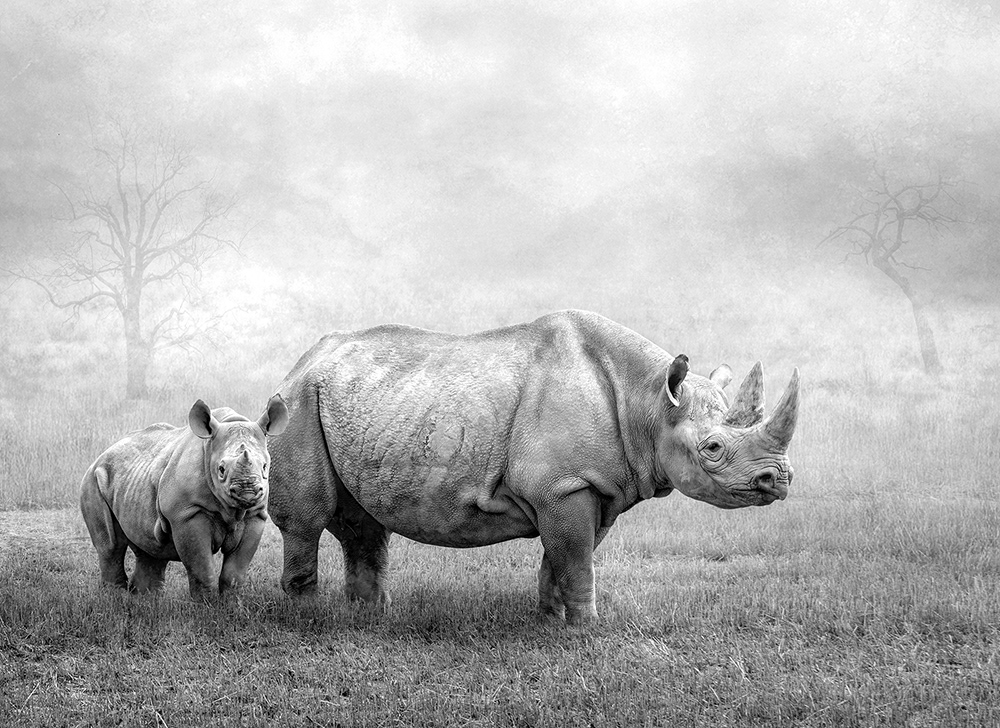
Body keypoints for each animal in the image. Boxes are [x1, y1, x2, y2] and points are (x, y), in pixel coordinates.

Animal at [80, 396, 289, 601]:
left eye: (265, 467)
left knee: (149, 549)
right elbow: (202, 569)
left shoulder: (254, 514)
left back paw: (146, 600)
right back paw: (114, 599)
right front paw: (205, 606)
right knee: (111, 546)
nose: (248, 492)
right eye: (221, 470)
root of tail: (101, 455)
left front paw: (232, 605)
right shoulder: (187, 513)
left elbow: (234, 574)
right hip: (93, 479)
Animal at [268, 310, 799, 623]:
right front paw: (587, 631)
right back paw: (308, 619)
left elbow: (564, 557)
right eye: (713, 448)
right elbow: (577, 559)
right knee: (308, 517)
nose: (779, 479)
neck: (648, 401)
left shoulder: (588, 486)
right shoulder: (564, 485)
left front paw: (550, 622)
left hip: (361, 401)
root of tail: (303, 359)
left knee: (364, 521)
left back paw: (371, 616)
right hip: (297, 403)